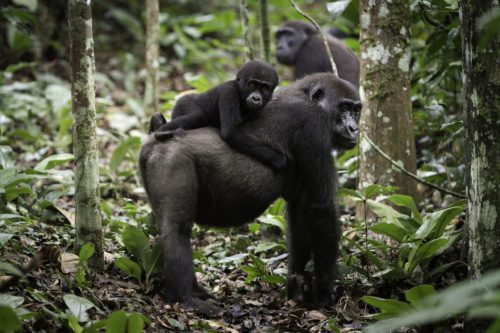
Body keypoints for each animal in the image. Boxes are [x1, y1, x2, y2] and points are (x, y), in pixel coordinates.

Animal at [139, 72, 362, 314]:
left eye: (356, 111)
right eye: (343, 108)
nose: (354, 129)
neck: (304, 95)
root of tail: (152, 140)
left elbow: (300, 212)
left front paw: (297, 283)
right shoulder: (313, 126)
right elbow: (321, 209)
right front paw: (324, 293)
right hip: (171, 158)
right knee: (176, 229)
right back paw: (185, 298)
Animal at [149, 59, 286, 170]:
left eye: (265, 89)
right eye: (252, 85)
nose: (256, 98)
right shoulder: (229, 91)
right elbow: (231, 132)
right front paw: (278, 158)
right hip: (182, 104)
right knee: (198, 116)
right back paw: (161, 131)